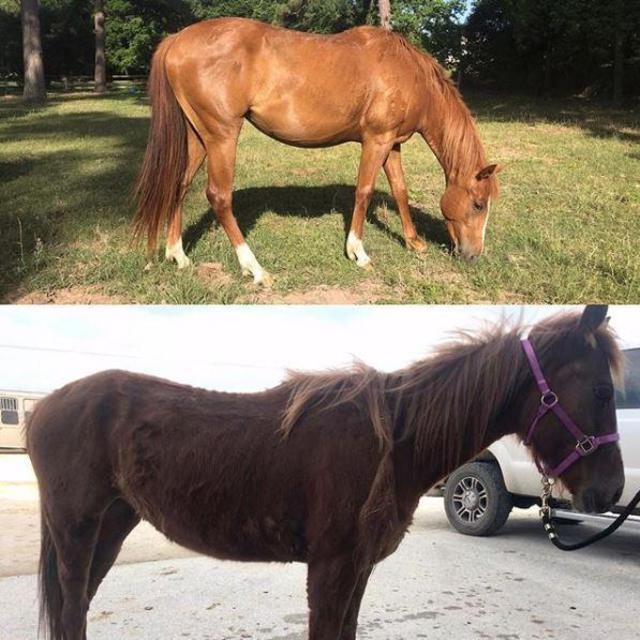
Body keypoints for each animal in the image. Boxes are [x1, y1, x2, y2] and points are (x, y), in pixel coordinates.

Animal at [27, 304, 623, 640]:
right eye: (600, 390)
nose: (611, 490)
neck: (392, 439)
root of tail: (43, 406)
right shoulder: (331, 568)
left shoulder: (356, 569)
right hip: (76, 530)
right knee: (72, 610)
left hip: (111, 525)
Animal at [133, 17, 501, 285]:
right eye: (478, 204)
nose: (473, 255)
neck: (408, 74)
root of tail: (177, 39)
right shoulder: (376, 141)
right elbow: (364, 191)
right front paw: (358, 253)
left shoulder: (393, 143)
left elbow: (399, 189)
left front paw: (413, 242)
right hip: (223, 135)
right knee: (219, 197)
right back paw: (255, 269)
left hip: (199, 136)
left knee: (180, 185)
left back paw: (178, 255)